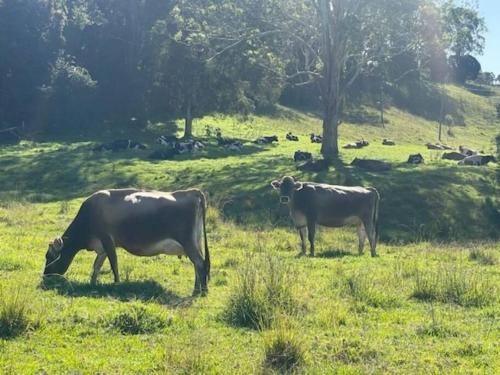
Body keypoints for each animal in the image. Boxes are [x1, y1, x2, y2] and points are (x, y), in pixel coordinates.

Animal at [43, 188, 213, 296]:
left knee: (200, 263)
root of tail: (191, 192)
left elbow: (114, 264)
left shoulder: (107, 240)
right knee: (197, 265)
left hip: (188, 242)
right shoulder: (102, 247)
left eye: (49, 257)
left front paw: (117, 285)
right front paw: (92, 283)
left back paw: (202, 291)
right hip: (196, 241)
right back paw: (196, 289)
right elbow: (97, 266)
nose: (45, 276)